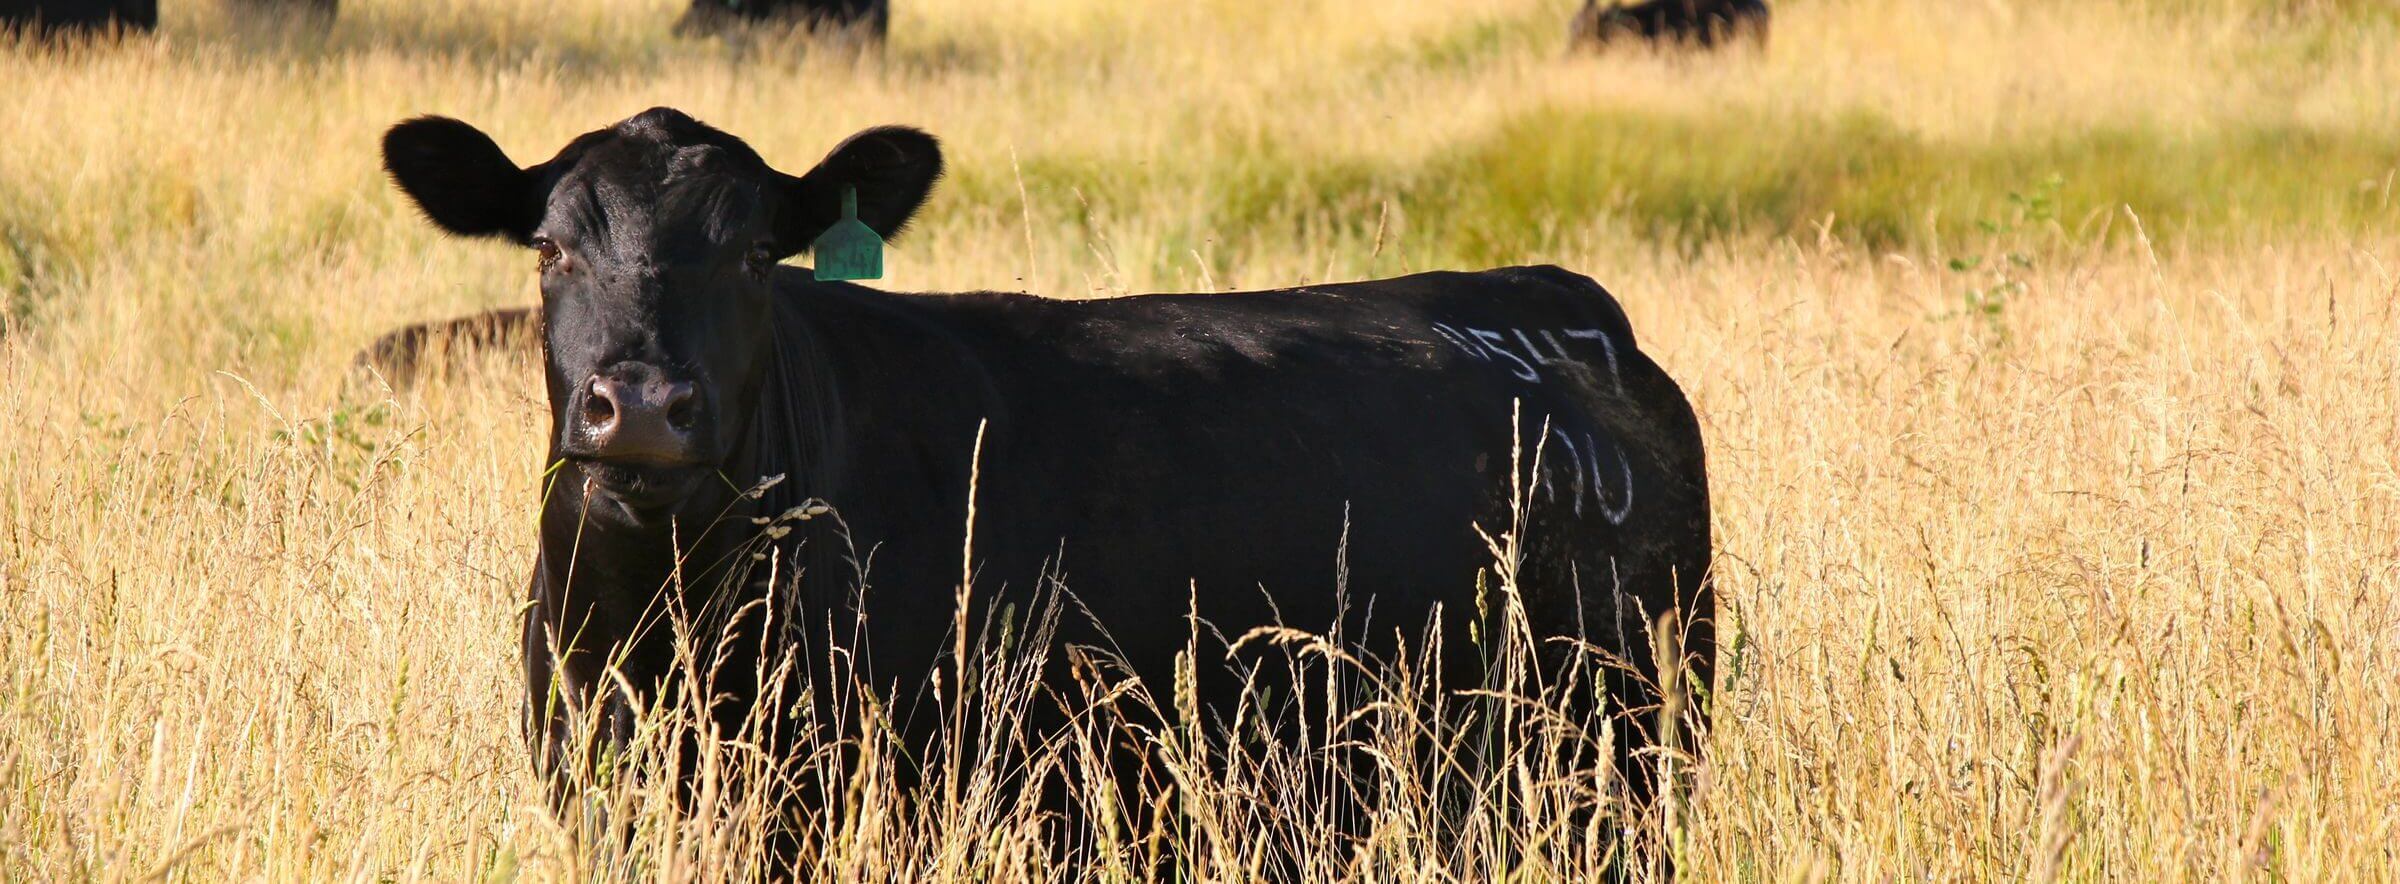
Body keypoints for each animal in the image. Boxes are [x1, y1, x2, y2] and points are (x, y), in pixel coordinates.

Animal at [379, 106, 1713, 859]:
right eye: (549, 247)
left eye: (760, 250)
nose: (647, 404)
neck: (662, 613)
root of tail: (1551, 308)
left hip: (1623, 755)